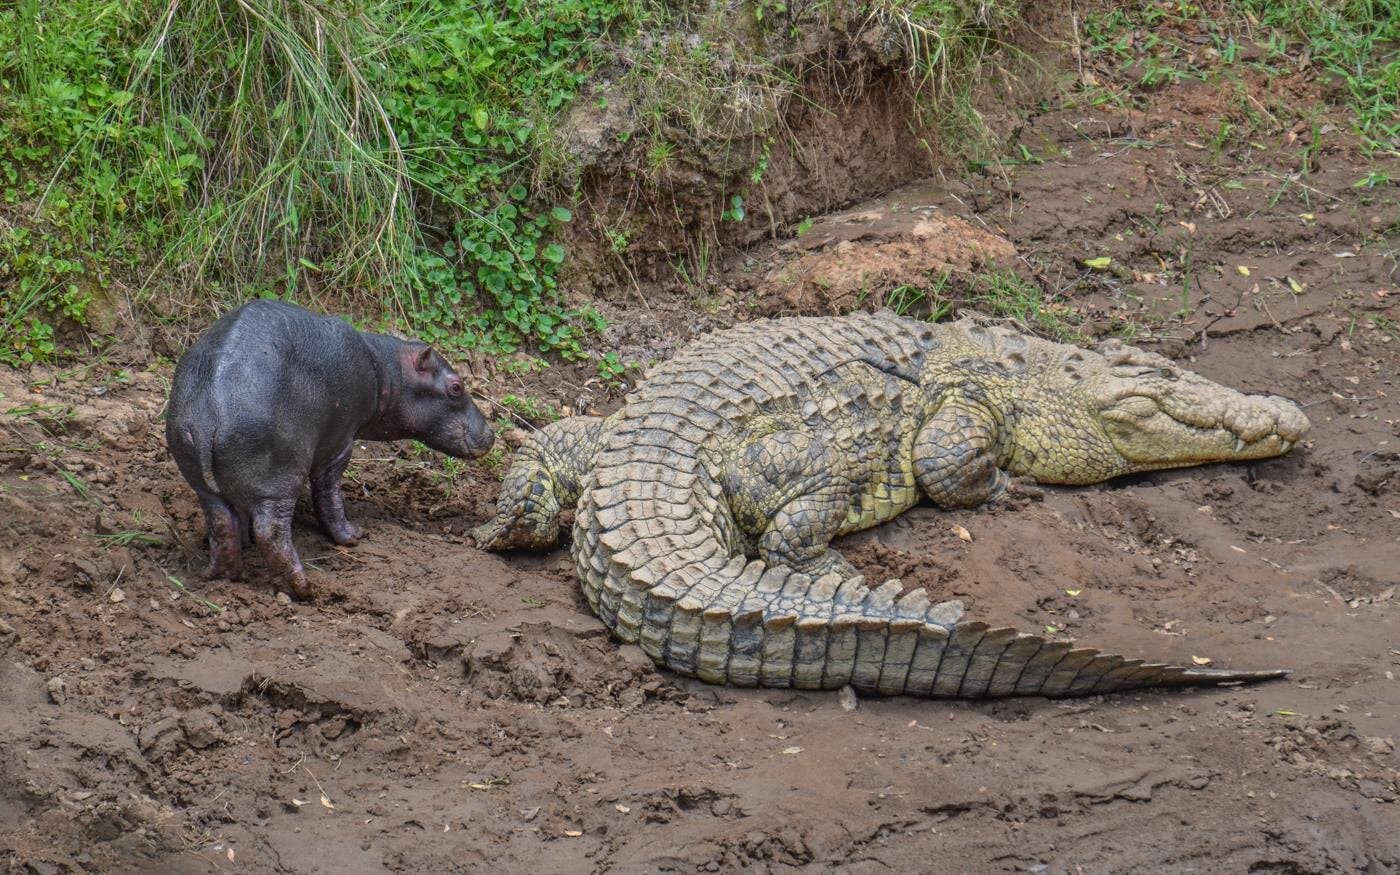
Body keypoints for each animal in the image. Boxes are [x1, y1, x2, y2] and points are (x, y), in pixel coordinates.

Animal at [167, 298, 495, 593]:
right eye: (456, 387)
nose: (491, 434)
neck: (385, 369)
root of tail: (207, 417)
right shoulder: (339, 444)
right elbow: (329, 493)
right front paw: (353, 536)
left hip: (201, 478)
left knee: (222, 522)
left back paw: (223, 576)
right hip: (279, 477)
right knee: (272, 531)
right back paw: (303, 587)